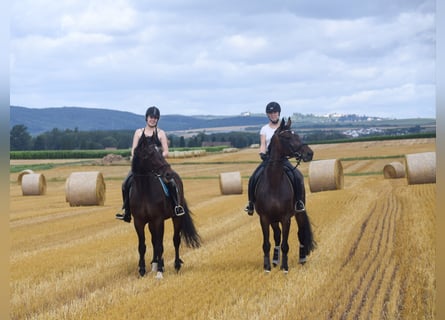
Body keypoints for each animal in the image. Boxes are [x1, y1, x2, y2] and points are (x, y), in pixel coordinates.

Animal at [129, 136, 200, 278]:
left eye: (161, 152)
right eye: (150, 154)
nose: (168, 174)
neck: (144, 191)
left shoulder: (158, 220)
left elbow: (160, 245)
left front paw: (160, 271)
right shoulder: (138, 221)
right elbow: (142, 246)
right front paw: (142, 270)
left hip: (176, 218)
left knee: (175, 240)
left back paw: (176, 265)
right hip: (150, 223)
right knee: (153, 241)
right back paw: (154, 263)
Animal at [253, 117, 316, 272]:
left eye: (298, 135)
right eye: (287, 137)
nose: (309, 153)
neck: (274, 183)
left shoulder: (286, 218)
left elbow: (285, 244)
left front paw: (285, 267)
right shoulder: (264, 218)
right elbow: (267, 244)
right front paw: (267, 267)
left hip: (299, 213)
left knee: (301, 232)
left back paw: (302, 259)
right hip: (274, 220)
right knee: (277, 235)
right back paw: (275, 260)